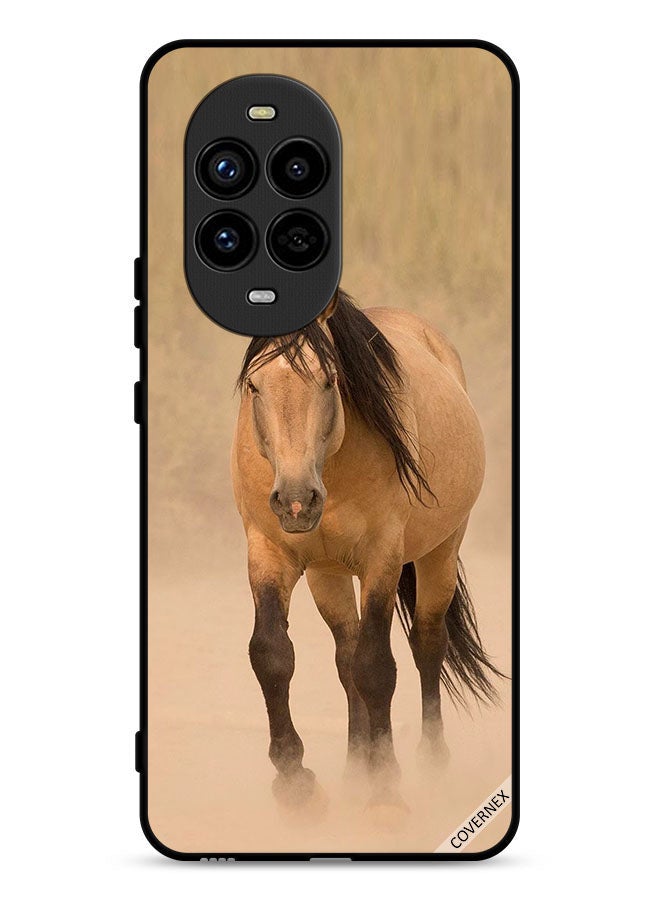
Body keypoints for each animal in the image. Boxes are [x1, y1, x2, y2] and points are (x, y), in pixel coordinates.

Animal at [231, 289, 501, 817]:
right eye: (254, 384)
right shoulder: (269, 553)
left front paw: (386, 788)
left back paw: (430, 763)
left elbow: (377, 667)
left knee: (426, 645)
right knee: (345, 655)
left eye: (329, 378)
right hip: (328, 574)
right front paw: (295, 781)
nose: (297, 500)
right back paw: (356, 768)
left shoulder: (382, 560)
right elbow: (272, 654)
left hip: (440, 551)